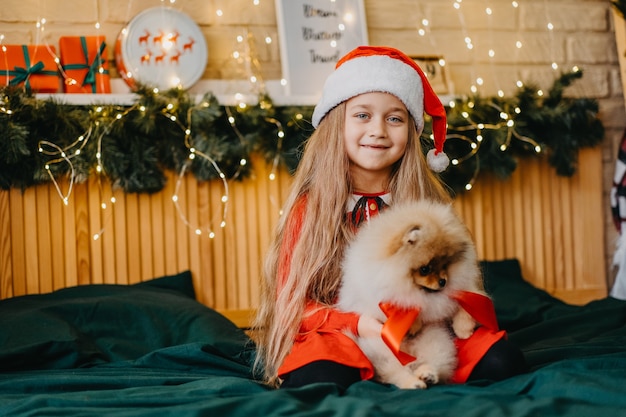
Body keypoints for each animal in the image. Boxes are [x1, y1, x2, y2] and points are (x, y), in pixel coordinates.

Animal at [336, 200, 482, 388]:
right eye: (425, 269)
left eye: (445, 263)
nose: (443, 281)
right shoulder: (378, 296)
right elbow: (404, 307)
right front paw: (413, 323)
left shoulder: (462, 288)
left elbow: (467, 307)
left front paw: (463, 331)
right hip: (384, 354)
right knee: (395, 374)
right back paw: (414, 383)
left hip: (436, 344)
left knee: (435, 363)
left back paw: (427, 375)